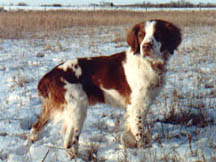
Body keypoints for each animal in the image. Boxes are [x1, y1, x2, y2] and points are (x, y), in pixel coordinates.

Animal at [28, 18, 181, 158]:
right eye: (141, 35)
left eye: (158, 34)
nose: (146, 46)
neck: (148, 63)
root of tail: (49, 75)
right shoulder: (137, 105)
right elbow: (139, 131)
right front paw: (144, 151)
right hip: (79, 106)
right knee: (71, 138)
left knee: (41, 128)